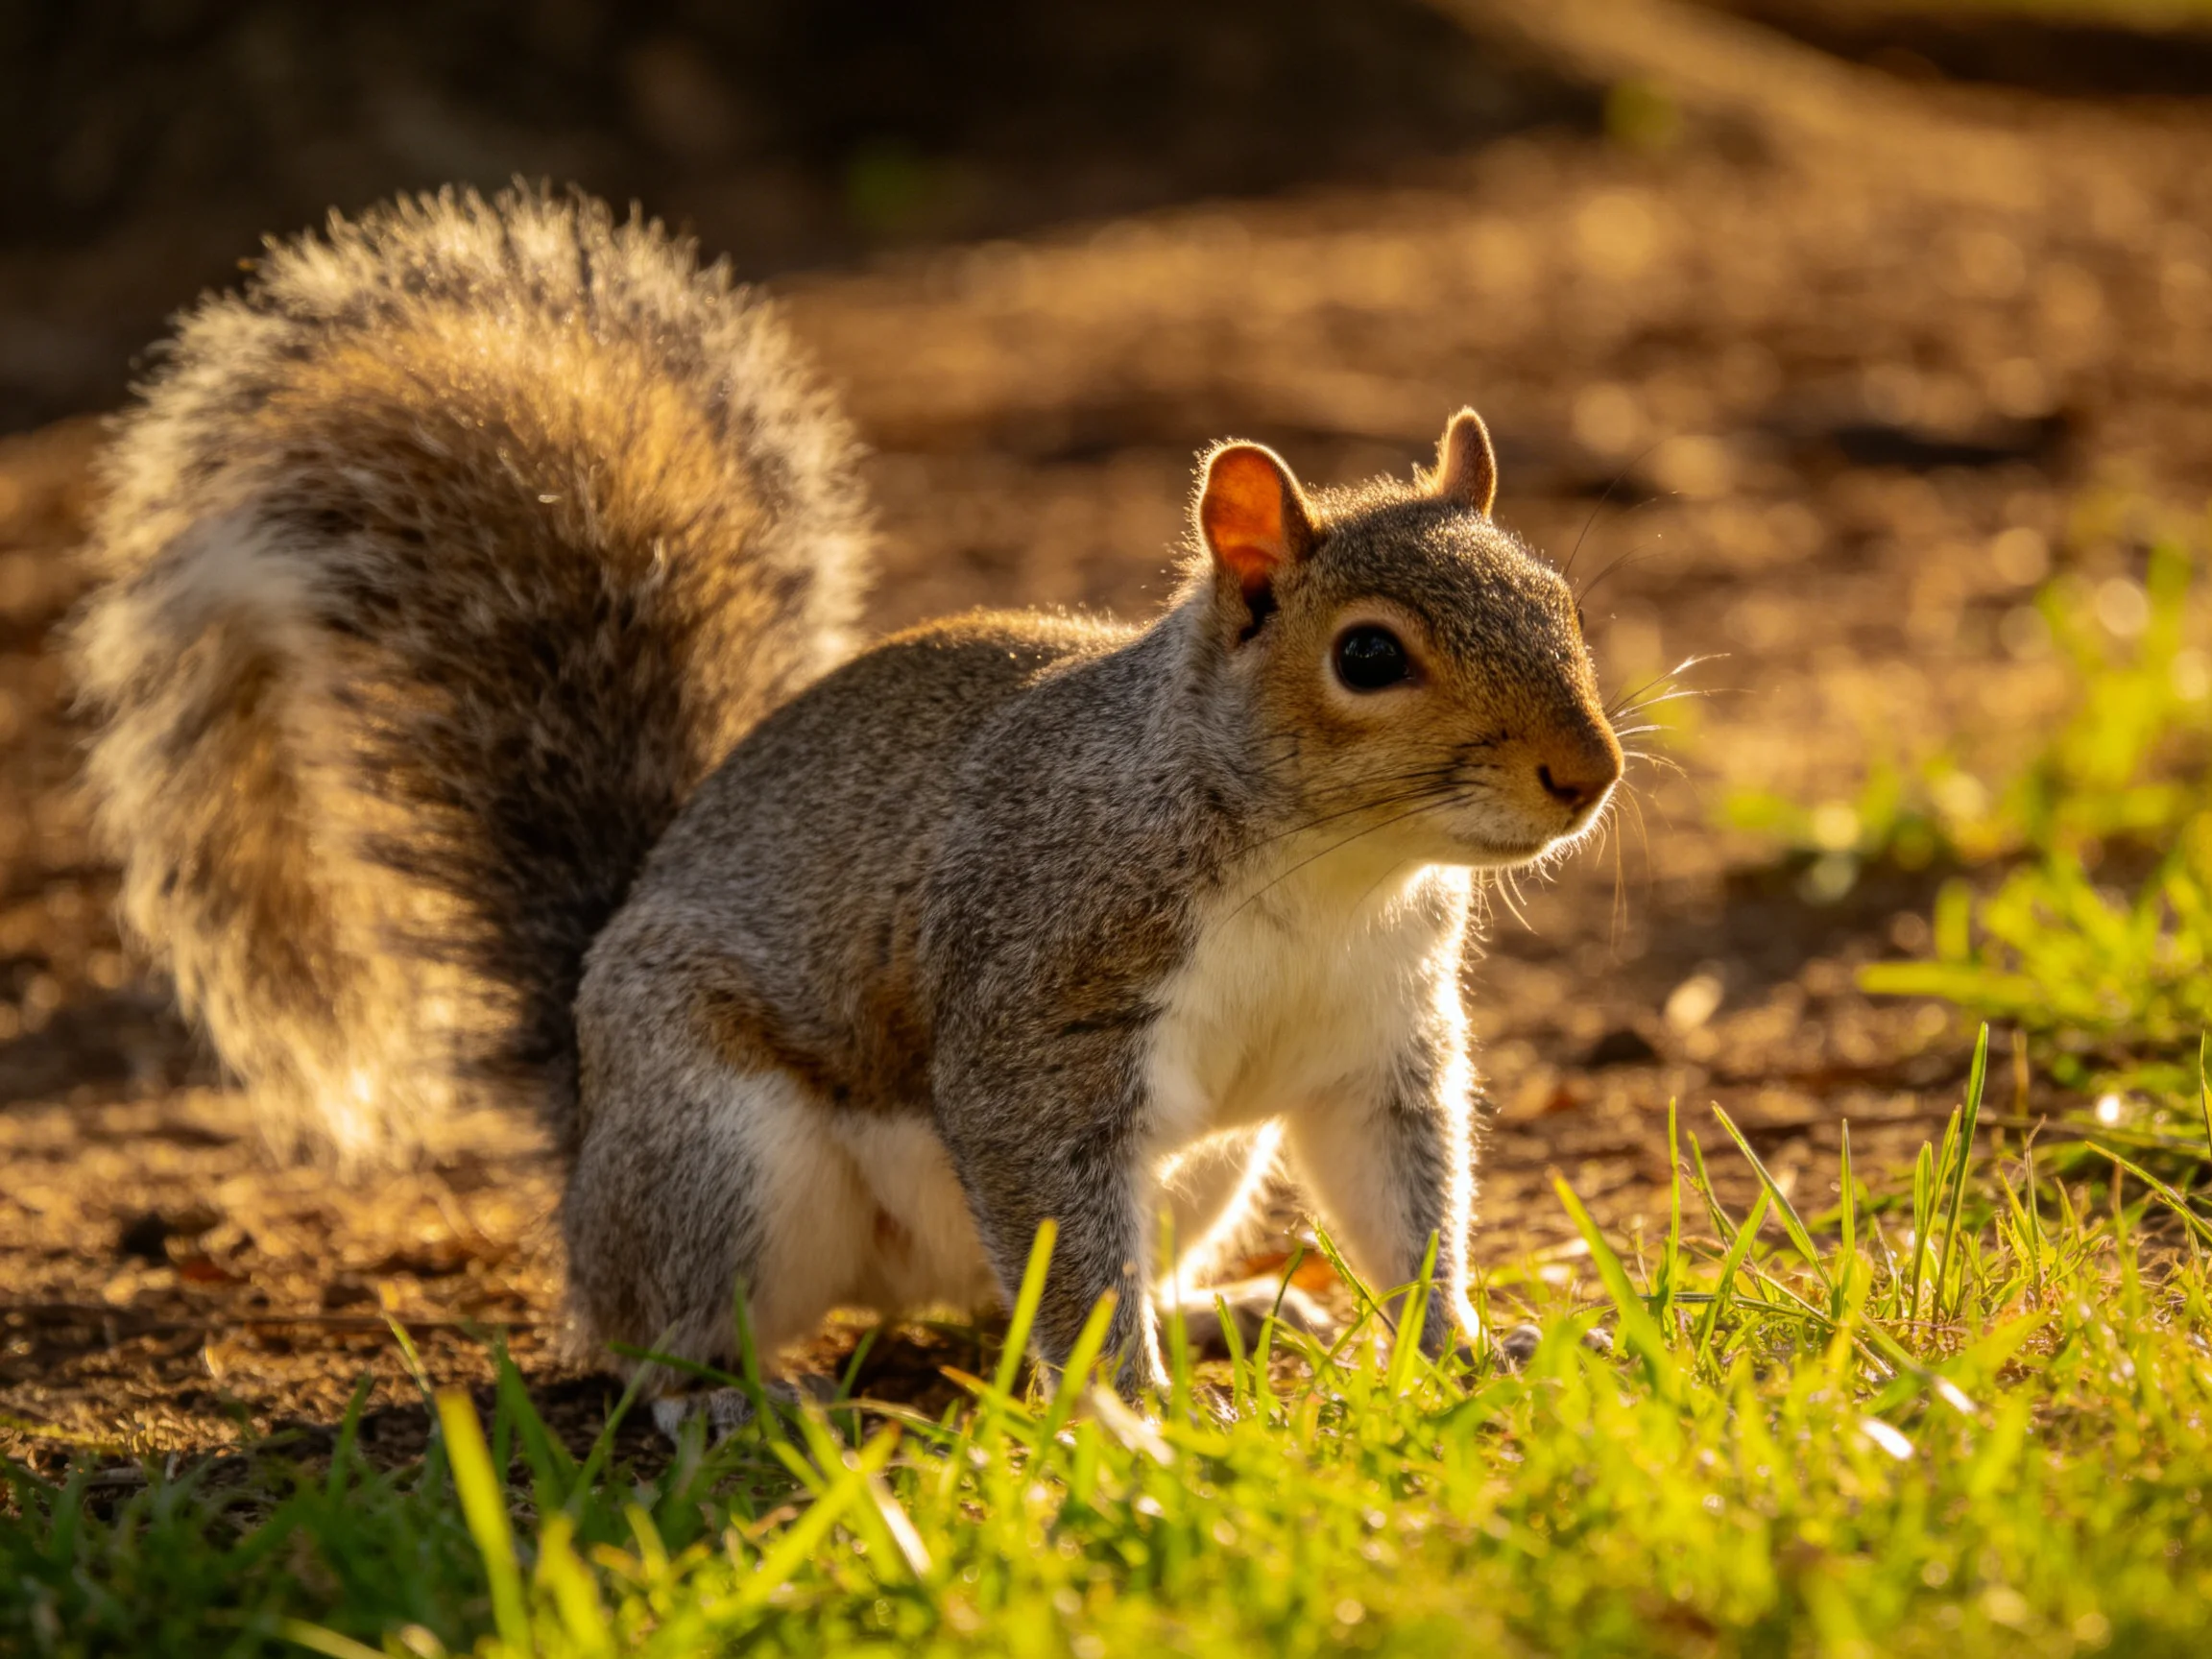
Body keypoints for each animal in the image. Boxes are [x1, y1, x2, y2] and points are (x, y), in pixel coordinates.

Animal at [72, 186, 1623, 1405]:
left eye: (1560, 600)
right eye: (1368, 656)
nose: (1589, 773)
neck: (1326, 870)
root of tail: (585, 1146)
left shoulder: (1380, 1043)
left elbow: (1404, 1206)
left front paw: (1465, 1346)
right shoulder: (1038, 1002)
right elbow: (1065, 1241)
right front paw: (1136, 1412)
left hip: (1195, 1174)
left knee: (1016, 1304)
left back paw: (1219, 1312)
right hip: (716, 1155)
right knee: (653, 1326)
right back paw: (730, 1398)